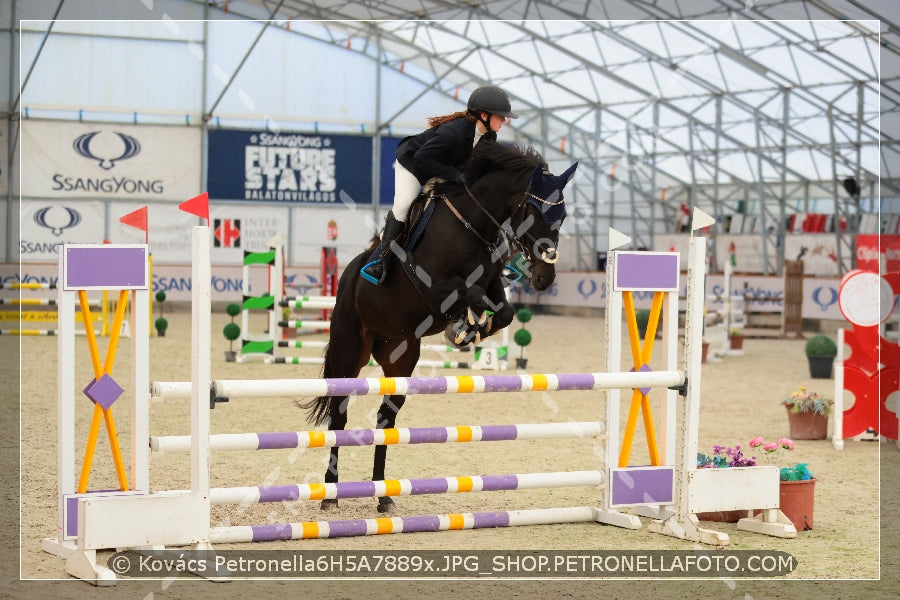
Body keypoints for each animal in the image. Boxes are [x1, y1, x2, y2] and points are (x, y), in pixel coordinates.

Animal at [300, 141, 576, 510]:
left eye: (563, 216)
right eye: (532, 211)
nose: (545, 277)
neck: (473, 223)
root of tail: (347, 277)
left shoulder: (492, 284)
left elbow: (502, 312)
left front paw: (469, 331)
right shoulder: (437, 285)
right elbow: (471, 296)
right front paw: (462, 328)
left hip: (400, 359)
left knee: (385, 419)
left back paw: (382, 495)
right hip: (349, 353)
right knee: (339, 415)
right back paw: (330, 493)